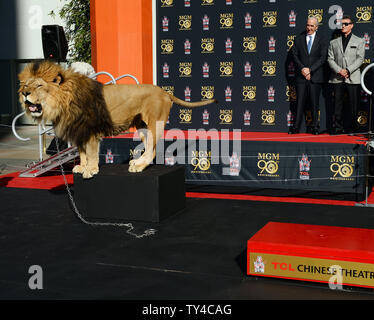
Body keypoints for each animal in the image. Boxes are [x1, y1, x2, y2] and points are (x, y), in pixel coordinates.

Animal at [18, 61, 216, 179]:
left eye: (39, 85)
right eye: (26, 85)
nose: (24, 93)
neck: (62, 102)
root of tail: (165, 92)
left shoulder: (90, 132)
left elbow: (91, 153)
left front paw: (91, 170)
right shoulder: (79, 132)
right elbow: (82, 153)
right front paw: (82, 167)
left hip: (155, 123)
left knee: (152, 150)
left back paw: (139, 166)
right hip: (142, 126)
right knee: (149, 148)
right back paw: (137, 162)